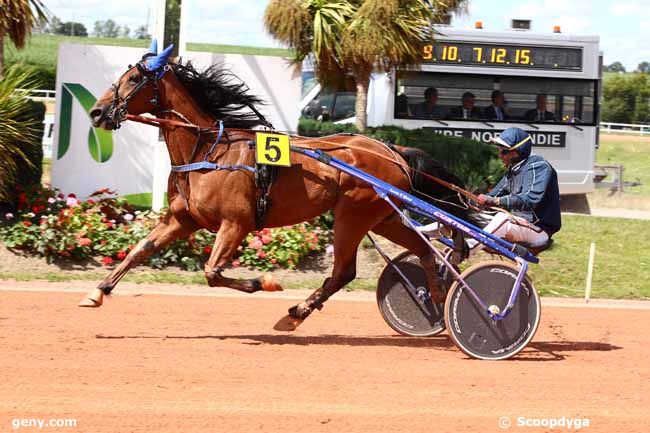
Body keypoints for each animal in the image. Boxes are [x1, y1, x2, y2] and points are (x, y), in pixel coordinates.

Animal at [79, 44, 476, 328]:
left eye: (134, 79)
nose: (97, 112)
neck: (207, 150)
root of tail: (393, 151)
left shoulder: (235, 223)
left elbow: (212, 272)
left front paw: (265, 282)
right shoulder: (182, 219)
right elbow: (138, 251)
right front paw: (97, 292)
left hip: (353, 216)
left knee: (344, 271)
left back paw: (298, 313)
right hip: (382, 217)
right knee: (422, 250)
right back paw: (435, 297)